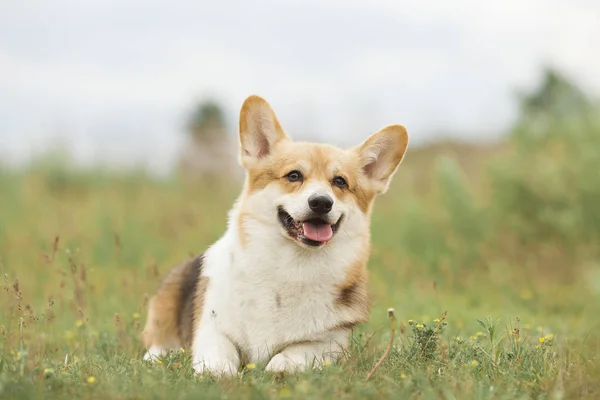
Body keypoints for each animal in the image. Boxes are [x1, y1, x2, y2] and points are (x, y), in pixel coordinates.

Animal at [143, 94, 410, 376]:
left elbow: (291, 355)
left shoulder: (329, 343)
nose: (321, 202)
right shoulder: (212, 330)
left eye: (340, 182)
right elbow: (219, 360)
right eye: (294, 175)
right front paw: (222, 374)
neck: (293, 264)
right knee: (157, 344)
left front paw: (276, 367)